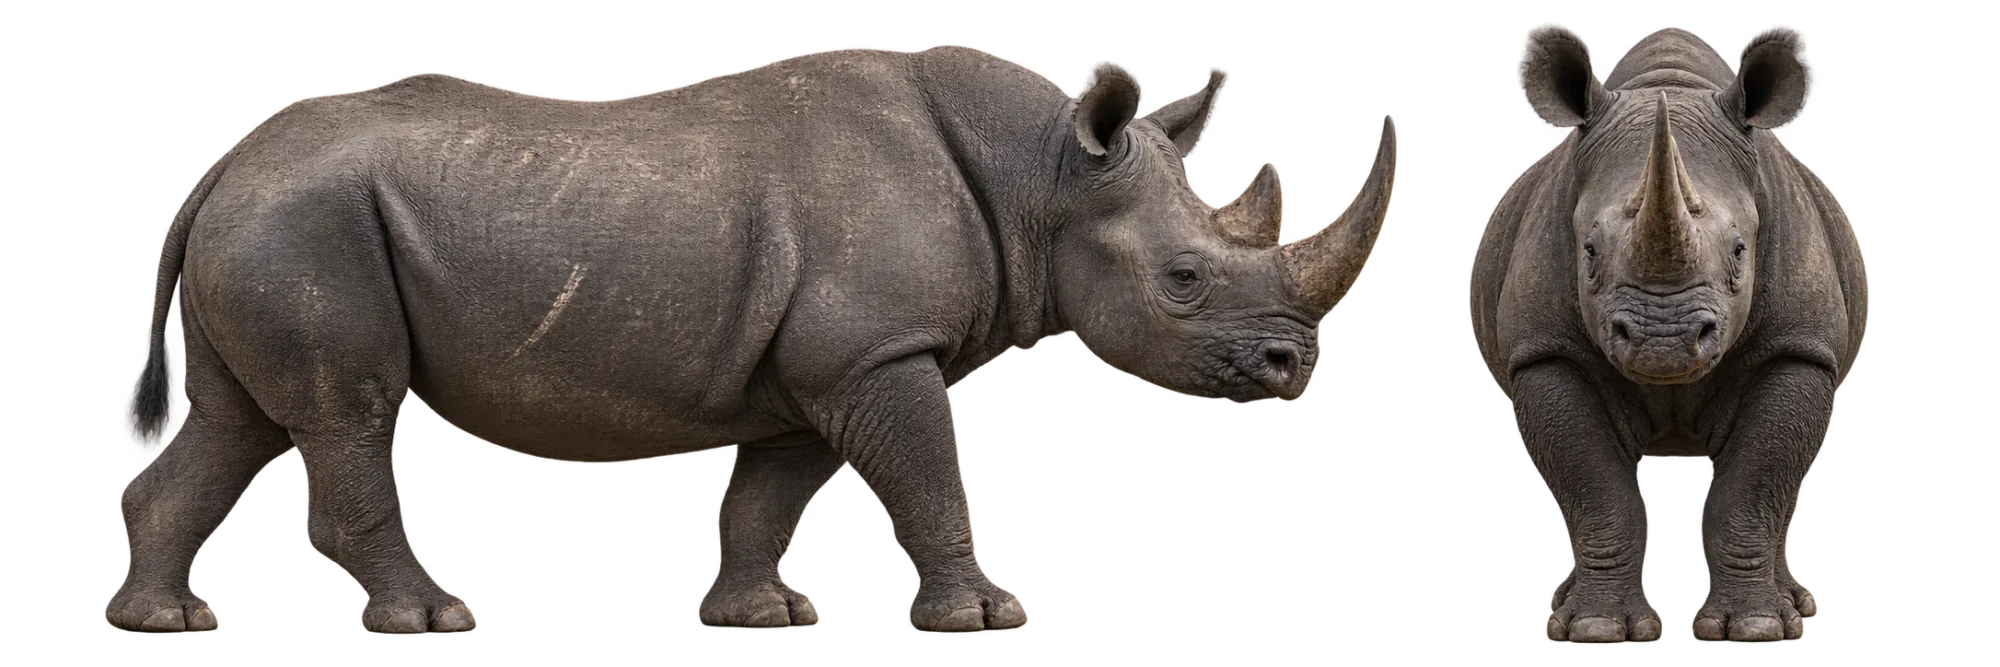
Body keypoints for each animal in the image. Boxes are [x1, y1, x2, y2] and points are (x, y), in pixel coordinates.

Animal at [109, 45, 1401, 635]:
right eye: (1183, 279)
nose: (1295, 368)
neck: (1039, 176)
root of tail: (221, 163)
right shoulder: (879, 350)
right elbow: (932, 475)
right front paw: (985, 615)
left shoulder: (825, 364)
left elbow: (768, 495)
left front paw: (760, 613)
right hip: (308, 222)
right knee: (344, 409)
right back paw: (432, 620)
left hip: (274, 220)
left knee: (240, 422)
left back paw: (163, 621)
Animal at [1468, 23, 1869, 645]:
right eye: (1588, 252)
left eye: (1740, 252)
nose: (1665, 342)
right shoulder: (1545, 352)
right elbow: (1596, 490)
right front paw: (1596, 628)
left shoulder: (1798, 347)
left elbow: (1753, 486)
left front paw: (1755, 627)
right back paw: (1561, 602)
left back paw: (1797, 605)